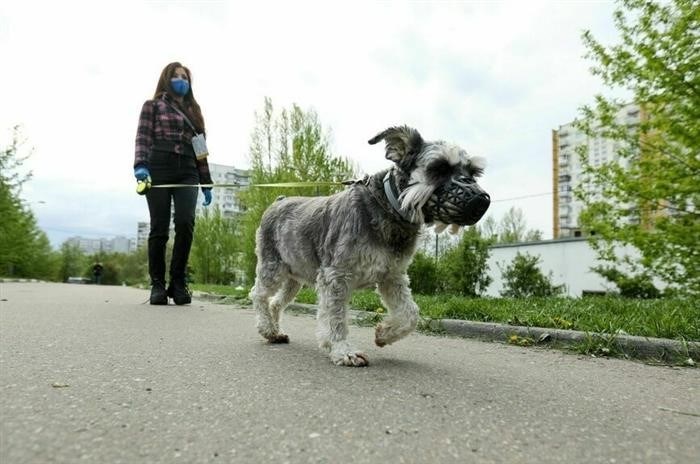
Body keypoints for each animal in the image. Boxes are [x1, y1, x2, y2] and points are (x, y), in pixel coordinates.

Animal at [250, 126, 486, 366]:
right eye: (439, 168)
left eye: (474, 172)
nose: (482, 201)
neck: (388, 208)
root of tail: (278, 200)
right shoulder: (336, 276)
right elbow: (335, 317)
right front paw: (343, 350)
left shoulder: (393, 276)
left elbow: (410, 313)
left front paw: (384, 334)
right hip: (272, 269)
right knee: (258, 295)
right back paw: (267, 328)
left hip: (294, 279)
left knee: (275, 302)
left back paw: (275, 332)